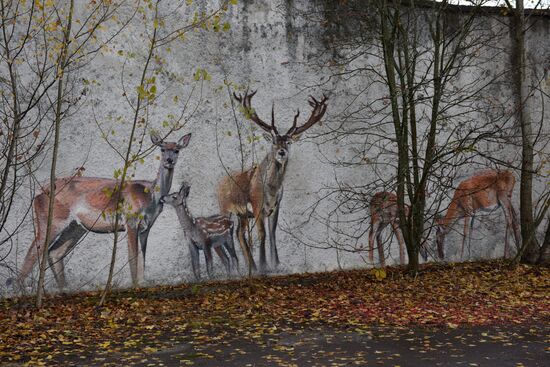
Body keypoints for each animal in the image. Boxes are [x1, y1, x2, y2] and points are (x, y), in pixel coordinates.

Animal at [7, 132, 194, 290]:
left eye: (176, 150)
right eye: (162, 148)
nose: (169, 160)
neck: (151, 197)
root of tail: (38, 194)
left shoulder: (146, 227)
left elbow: (143, 257)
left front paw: (142, 283)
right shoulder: (130, 221)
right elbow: (133, 257)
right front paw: (135, 285)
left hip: (76, 226)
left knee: (54, 252)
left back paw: (64, 288)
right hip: (51, 218)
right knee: (35, 250)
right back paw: (19, 289)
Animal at [219, 90, 330, 272]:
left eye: (289, 142)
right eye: (273, 141)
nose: (282, 152)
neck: (270, 190)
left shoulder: (276, 205)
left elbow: (272, 232)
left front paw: (275, 264)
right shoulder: (257, 205)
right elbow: (262, 233)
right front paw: (264, 265)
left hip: (242, 214)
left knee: (239, 233)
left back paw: (251, 267)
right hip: (224, 208)